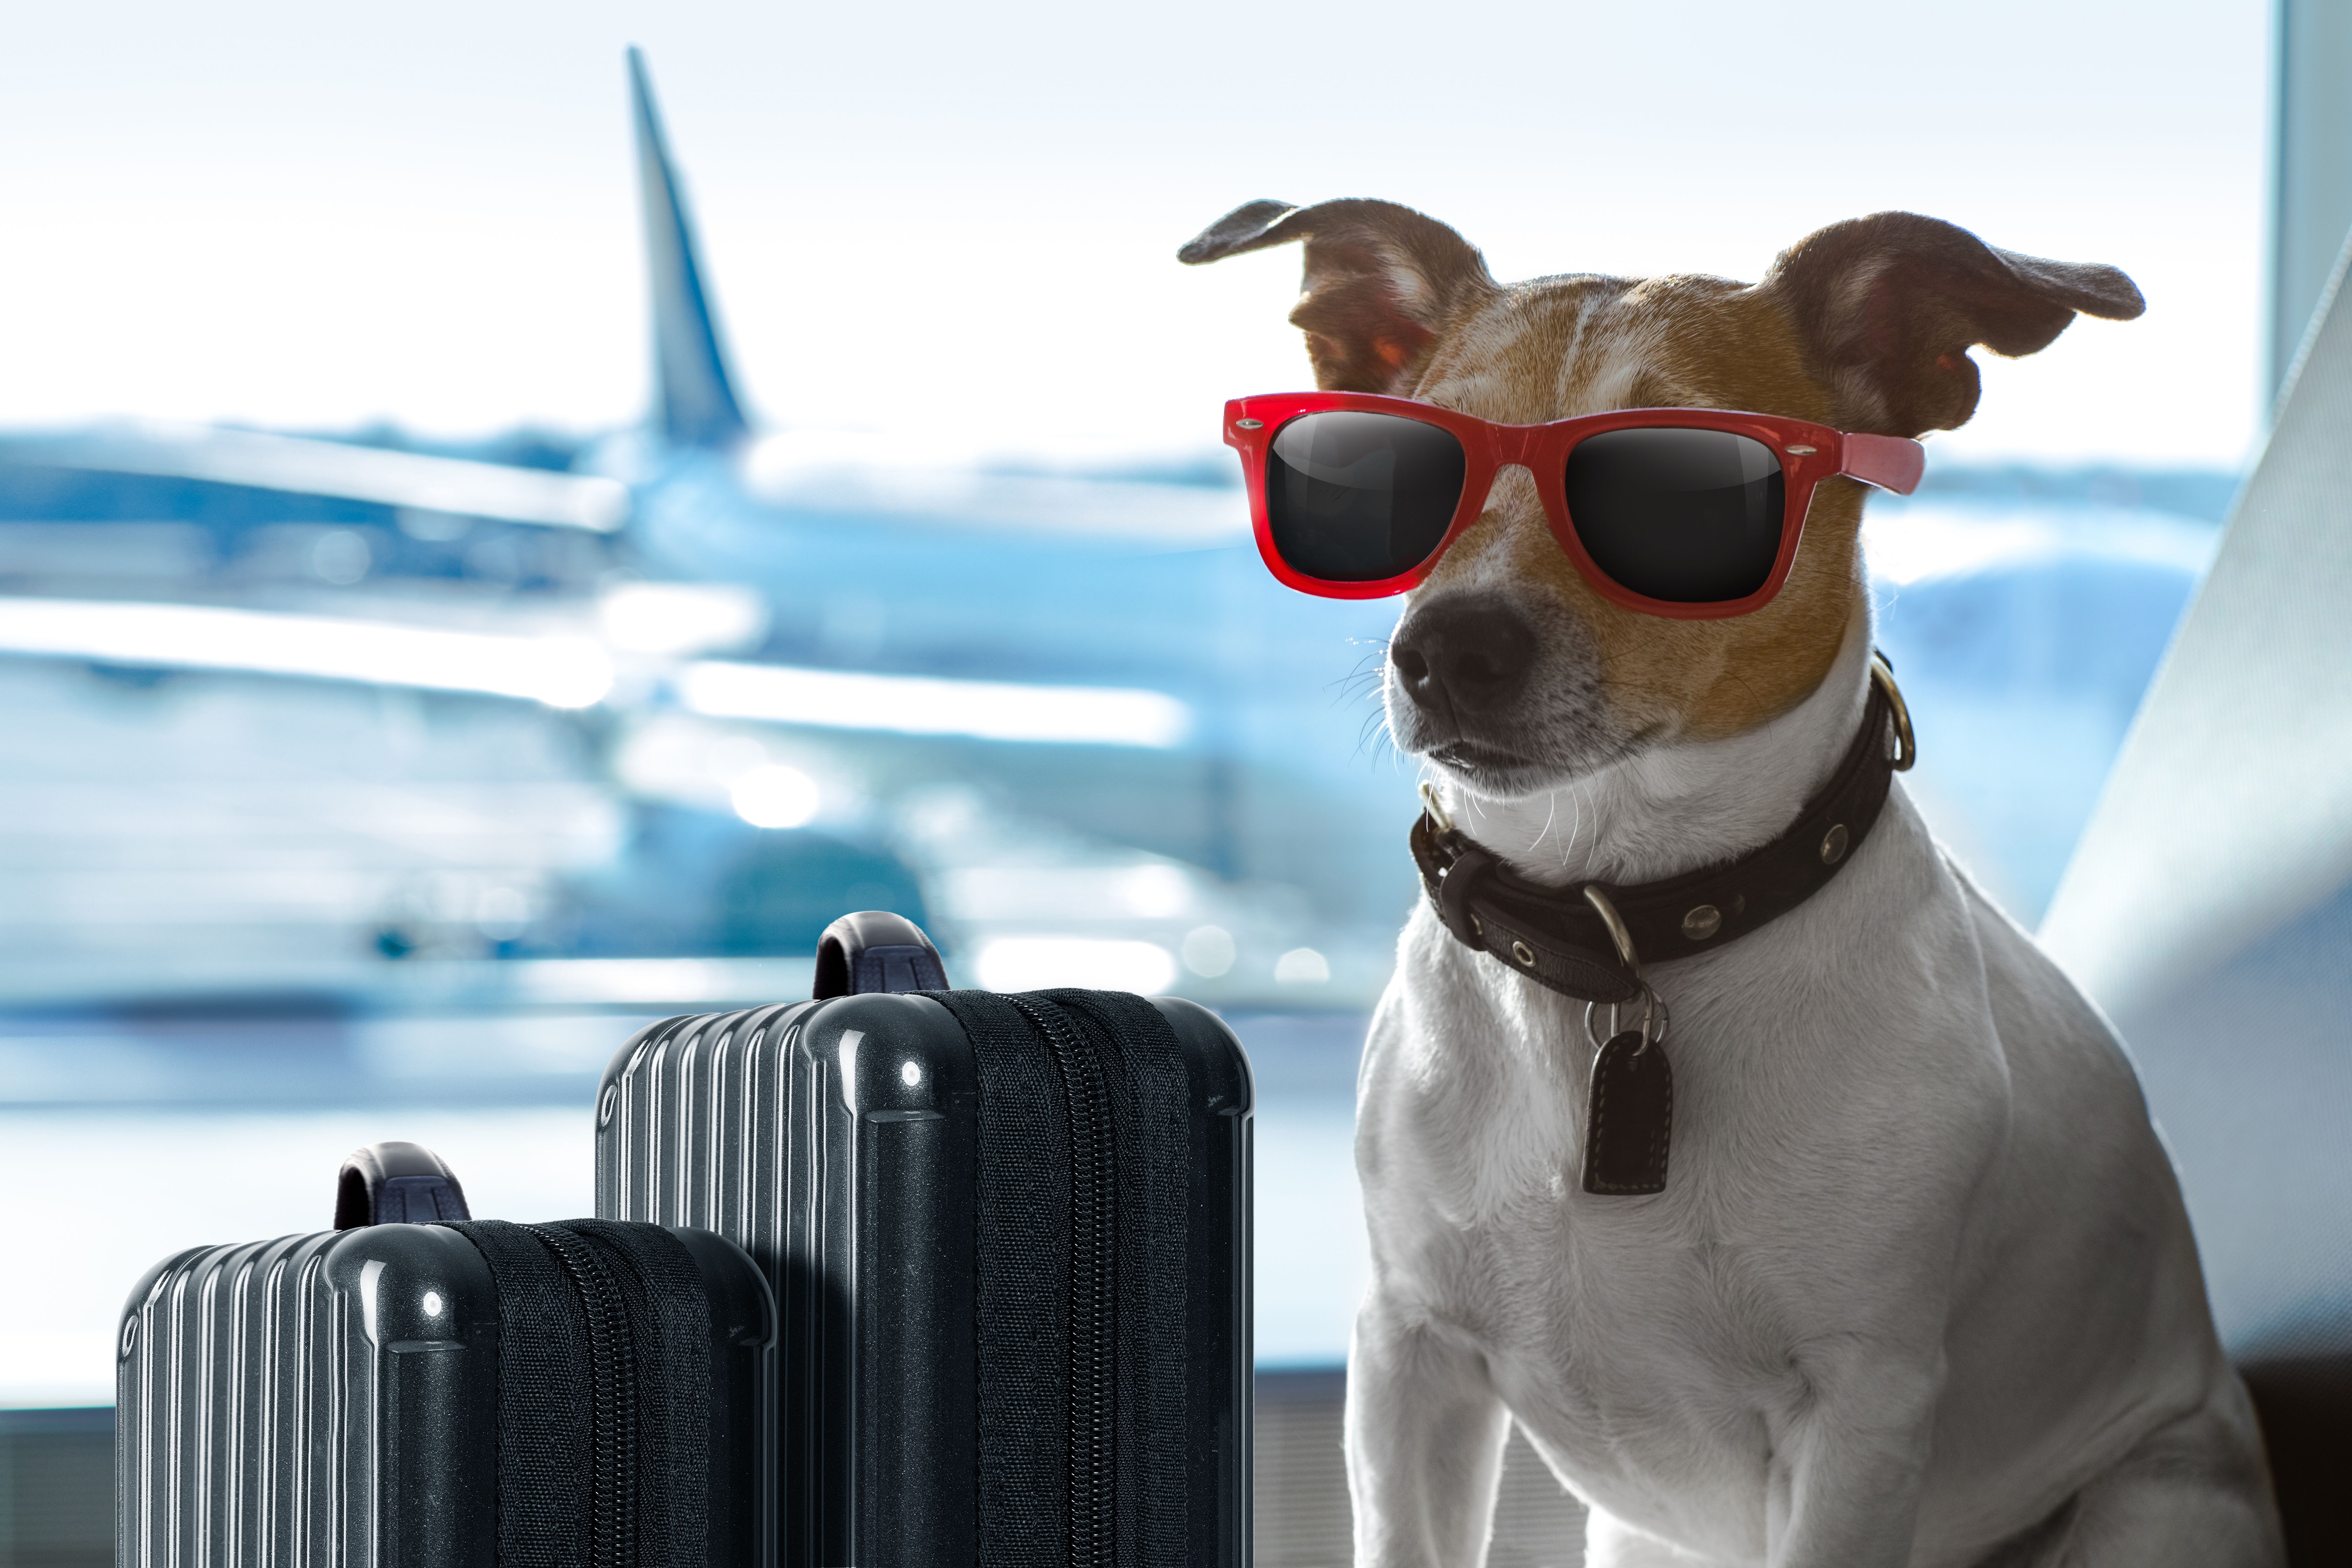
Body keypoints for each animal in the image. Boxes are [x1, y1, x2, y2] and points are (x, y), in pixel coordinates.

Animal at [1185, 205, 2286, 1568]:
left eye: (1683, 488)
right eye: (1394, 469)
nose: (1446, 648)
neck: (1615, 938)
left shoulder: (1858, 1420)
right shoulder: (1409, 1359)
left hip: (2156, 1500)